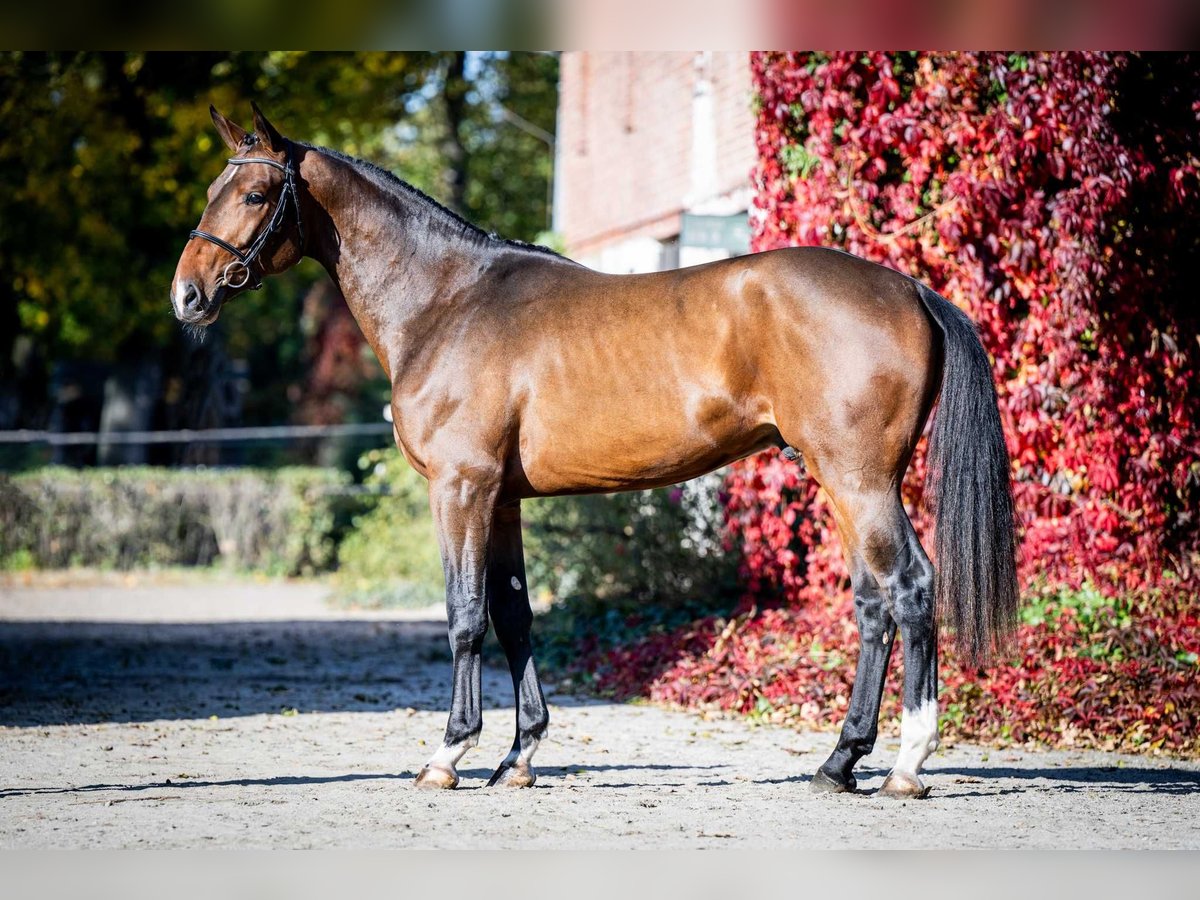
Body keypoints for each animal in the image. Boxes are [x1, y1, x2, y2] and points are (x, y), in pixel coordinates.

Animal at [174, 102, 1017, 801]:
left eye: (256, 196)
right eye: (216, 188)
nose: (187, 297)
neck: (447, 301)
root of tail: (908, 289)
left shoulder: (460, 488)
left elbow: (464, 615)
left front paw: (449, 755)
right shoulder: (502, 499)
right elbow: (514, 616)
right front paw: (518, 758)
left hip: (860, 479)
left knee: (910, 588)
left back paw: (907, 766)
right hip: (844, 482)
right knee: (874, 606)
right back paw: (839, 763)